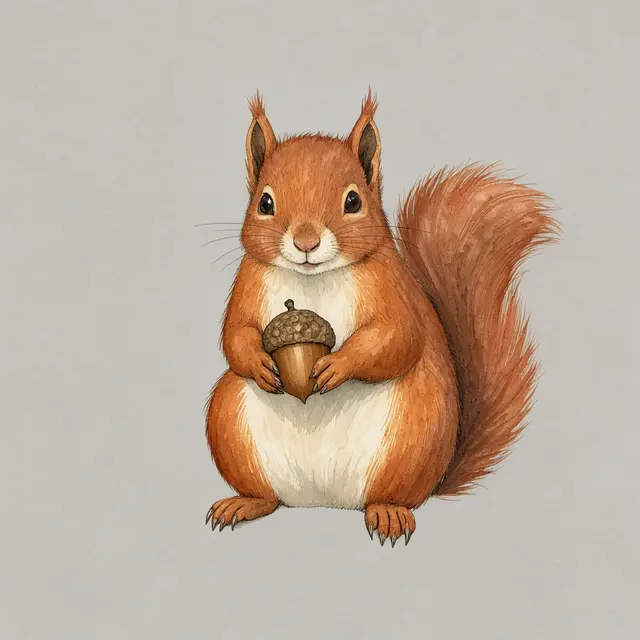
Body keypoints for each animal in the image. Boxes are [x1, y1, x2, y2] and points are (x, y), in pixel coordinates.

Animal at [204, 90, 558, 546]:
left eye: (353, 201)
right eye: (265, 203)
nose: (306, 242)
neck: (311, 280)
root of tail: (321, 501)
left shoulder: (393, 289)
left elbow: (397, 337)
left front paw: (338, 364)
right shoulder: (248, 284)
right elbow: (235, 336)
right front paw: (260, 363)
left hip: (414, 437)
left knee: (393, 496)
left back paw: (388, 512)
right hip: (227, 420)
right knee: (266, 495)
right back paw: (244, 503)